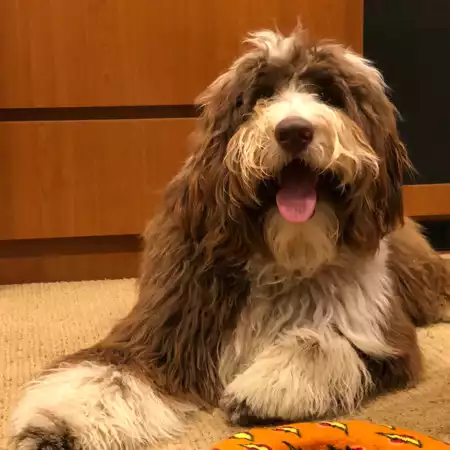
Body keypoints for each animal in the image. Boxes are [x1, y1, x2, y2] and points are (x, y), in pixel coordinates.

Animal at [10, 27, 450, 450]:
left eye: (328, 95)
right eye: (260, 95)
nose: (294, 131)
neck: (284, 255)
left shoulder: (381, 332)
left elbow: (321, 341)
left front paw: (267, 387)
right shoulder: (165, 328)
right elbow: (109, 372)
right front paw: (55, 423)